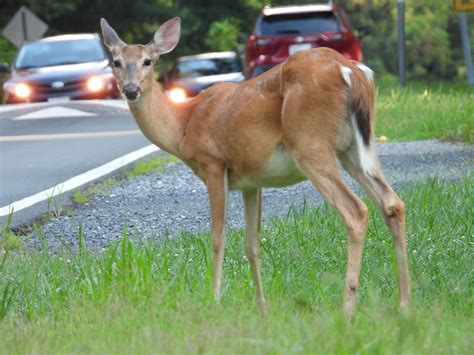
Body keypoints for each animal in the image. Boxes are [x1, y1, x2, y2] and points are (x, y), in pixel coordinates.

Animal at [101, 18, 412, 316]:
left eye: (147, 61)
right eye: (116, 61)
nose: (131, 89)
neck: (183, 124)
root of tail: (350, 70)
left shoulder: (213, 164)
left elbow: (218, 238)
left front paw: (214, 300)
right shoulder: (251, 181)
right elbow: (252, 244)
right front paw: (262, 306)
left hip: (310, 143)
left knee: (356, 212)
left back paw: (347, 309)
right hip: (354, 146)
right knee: (393, 203)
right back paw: (403, 304)